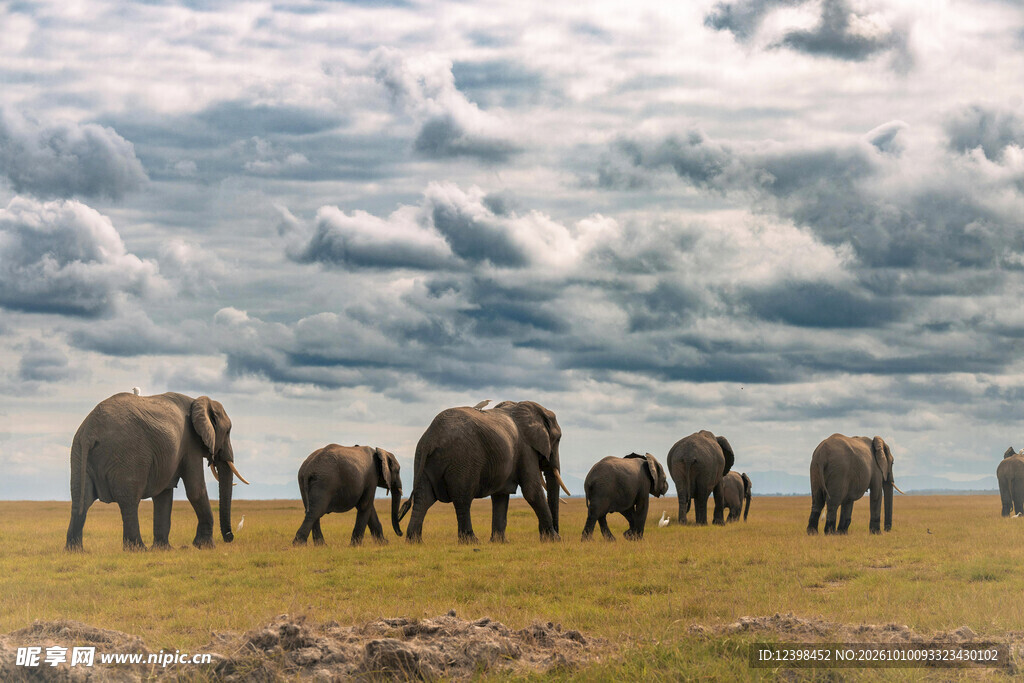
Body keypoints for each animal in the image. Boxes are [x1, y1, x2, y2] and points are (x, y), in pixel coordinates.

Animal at [65, 392, 249, 551]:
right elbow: (195, 490)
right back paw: (138, 550)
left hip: (78, 452)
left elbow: (163, 494)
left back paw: (75, 551)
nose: (230, 537)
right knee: (129, 501)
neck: (198, 401)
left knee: (80, 500)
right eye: (228, 431)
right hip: (127, 455)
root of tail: (90, 431)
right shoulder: (191, 444)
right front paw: (205, 547)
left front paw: (164, 549)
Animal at [397, 400, 571, 543]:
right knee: (462, 499)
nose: (552, 532)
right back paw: (472, 541)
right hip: (463, 459)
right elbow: (532, 491)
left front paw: (500, 542)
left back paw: (414, 541)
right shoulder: (526, 449)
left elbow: (501, 495)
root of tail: (431, 438)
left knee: (424, 498)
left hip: (421, 458)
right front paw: (555, 540)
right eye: (558, 439)